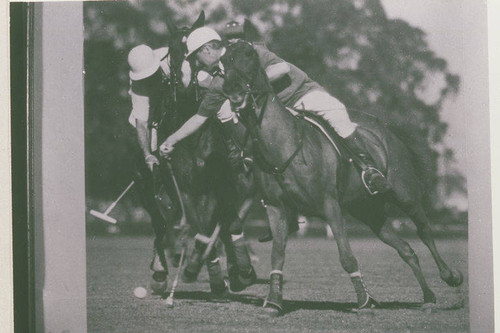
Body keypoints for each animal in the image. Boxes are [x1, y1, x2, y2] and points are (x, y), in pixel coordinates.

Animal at [221, 41, 462, 314]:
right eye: (224, 63)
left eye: (250, 57)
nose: (234, 92)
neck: (284, 144)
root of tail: (387, 130)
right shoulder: (276, 207)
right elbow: (277, 255)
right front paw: (273, 301)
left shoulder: (330, 205)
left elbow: (347, 257)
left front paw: (365, 300)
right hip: (368, 210)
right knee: (406, 249)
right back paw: (428, 296)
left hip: (404, 194)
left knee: (424, 230)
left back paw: (450, 276)